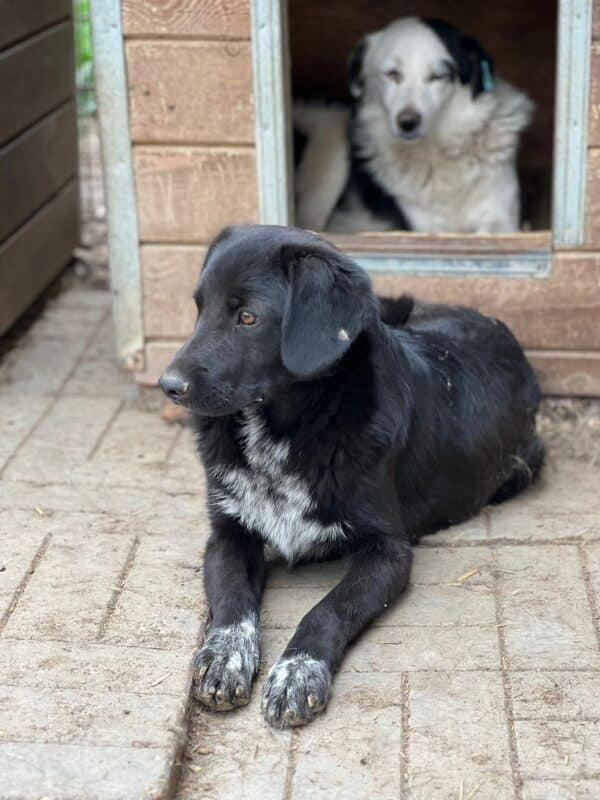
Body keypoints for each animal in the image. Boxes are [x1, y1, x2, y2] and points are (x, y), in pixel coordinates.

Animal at [159, 223, 544, 724]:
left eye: (247, 317)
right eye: (199, 308)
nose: (167, 386)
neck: (288, 430)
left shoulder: (389, 552)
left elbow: (327, 609)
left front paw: (298, 671)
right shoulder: (228, 534)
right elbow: (231, 601)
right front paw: (224, 656)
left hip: (524, 466)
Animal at [296, 17, 536, 233]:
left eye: (438, 76)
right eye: (392, 74)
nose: (407, 123)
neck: (442, 152)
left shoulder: (502, 217)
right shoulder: (425, 226)